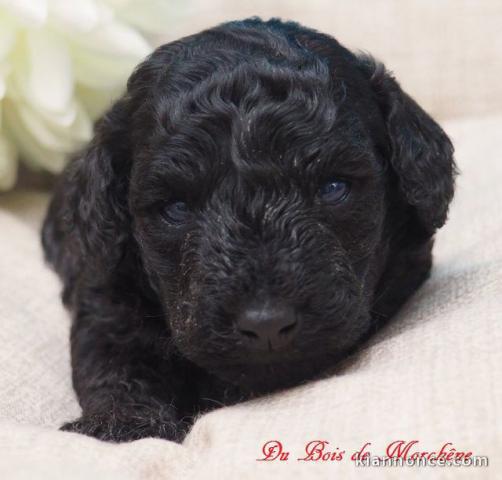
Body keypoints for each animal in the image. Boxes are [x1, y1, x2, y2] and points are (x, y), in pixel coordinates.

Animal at [42, 18, 454, 440]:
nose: (266, 324)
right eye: (176, 208)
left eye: (333, 187)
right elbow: (114, 361)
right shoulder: (105, 295)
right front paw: (124, 423)